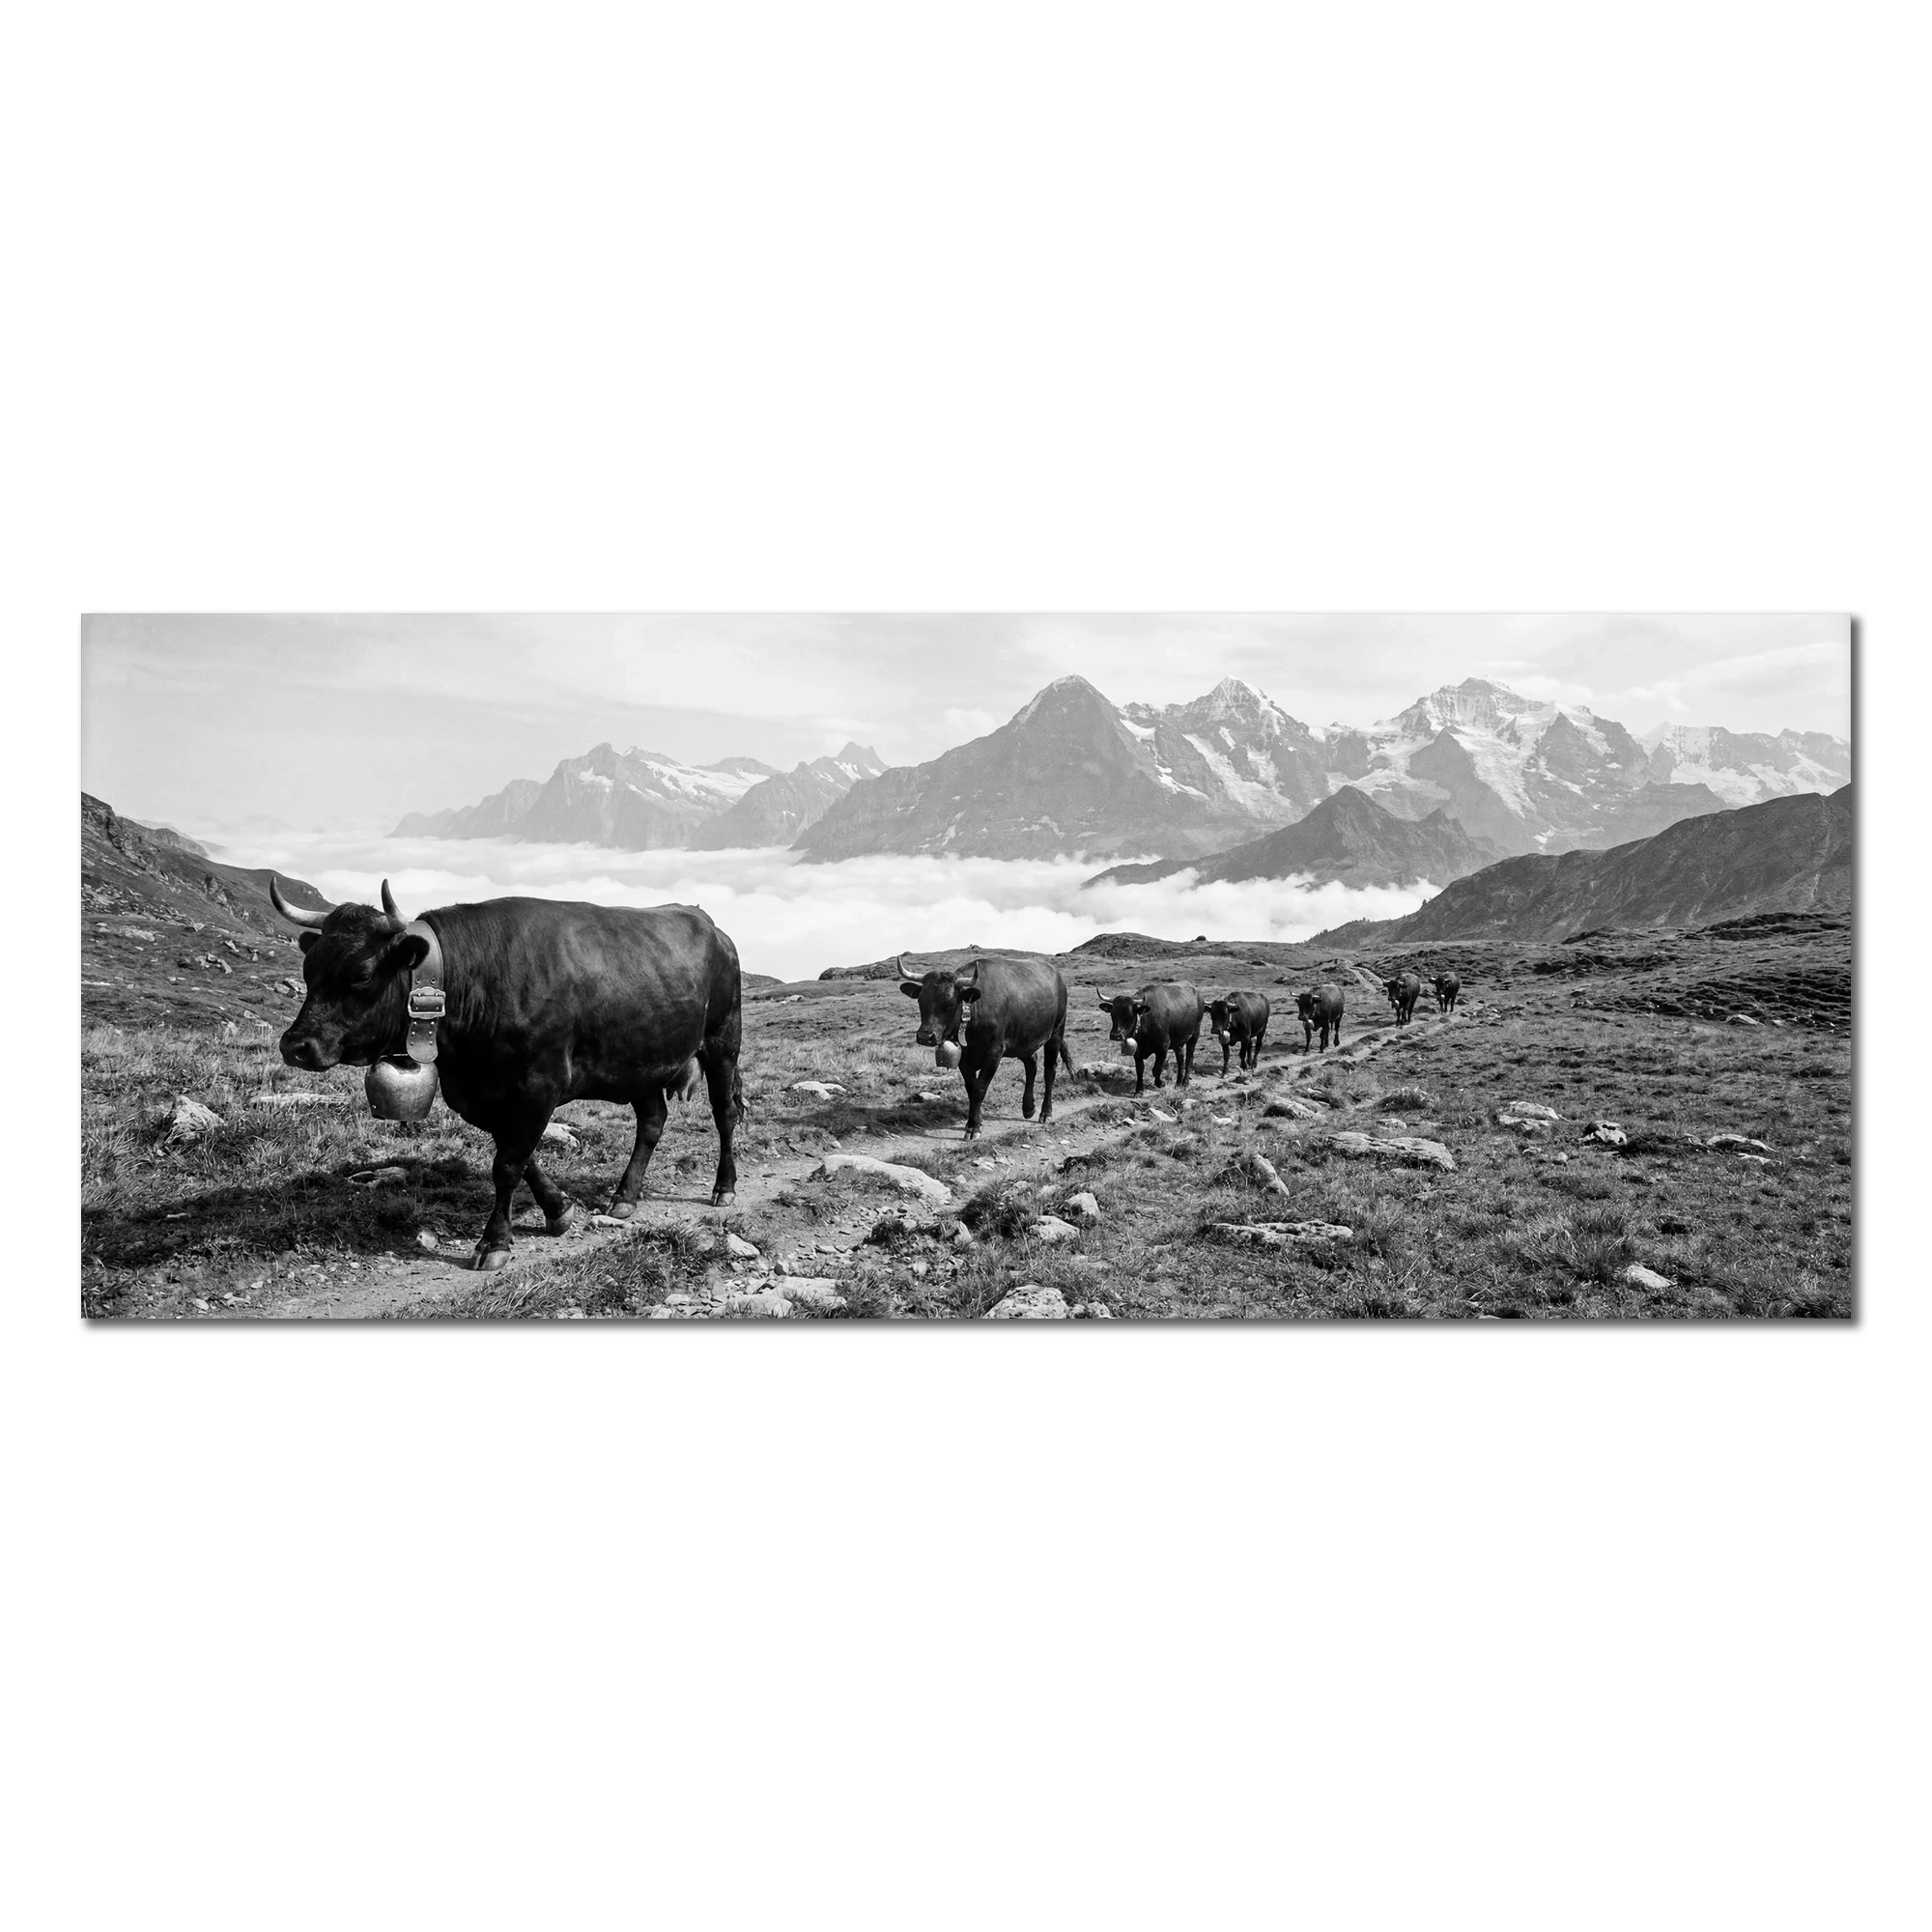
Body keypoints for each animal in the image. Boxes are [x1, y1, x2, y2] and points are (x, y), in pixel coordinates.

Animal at [272, 878, 743, 1270]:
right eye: (309, 970)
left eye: (362, 975)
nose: (295, 1045)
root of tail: (709, 923)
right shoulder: (479, 1095)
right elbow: (517, 1154)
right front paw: (559, 1210)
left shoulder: (538, 1086)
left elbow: (507, 1164)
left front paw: (494, 1242)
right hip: (640, 1062)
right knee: (652, 1122)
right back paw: (624, 1197)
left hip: (723, 1041)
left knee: (724, 1114)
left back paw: (724, 1187)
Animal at [898, 951, 1072, 1139]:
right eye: (920, 1001)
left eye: (950, 1004)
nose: (925, 1036)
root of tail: (1057, 975)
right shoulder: (964, 1057)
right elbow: (971, 1088)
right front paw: (976, 1121)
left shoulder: (994, 1052)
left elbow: (979, 1088)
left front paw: (973, 1127)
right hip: (1025, 1040)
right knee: (1031, 1064)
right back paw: (1028, 1107)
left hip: (1056, 1033)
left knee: (1049, 1071)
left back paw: (1045, 1112)